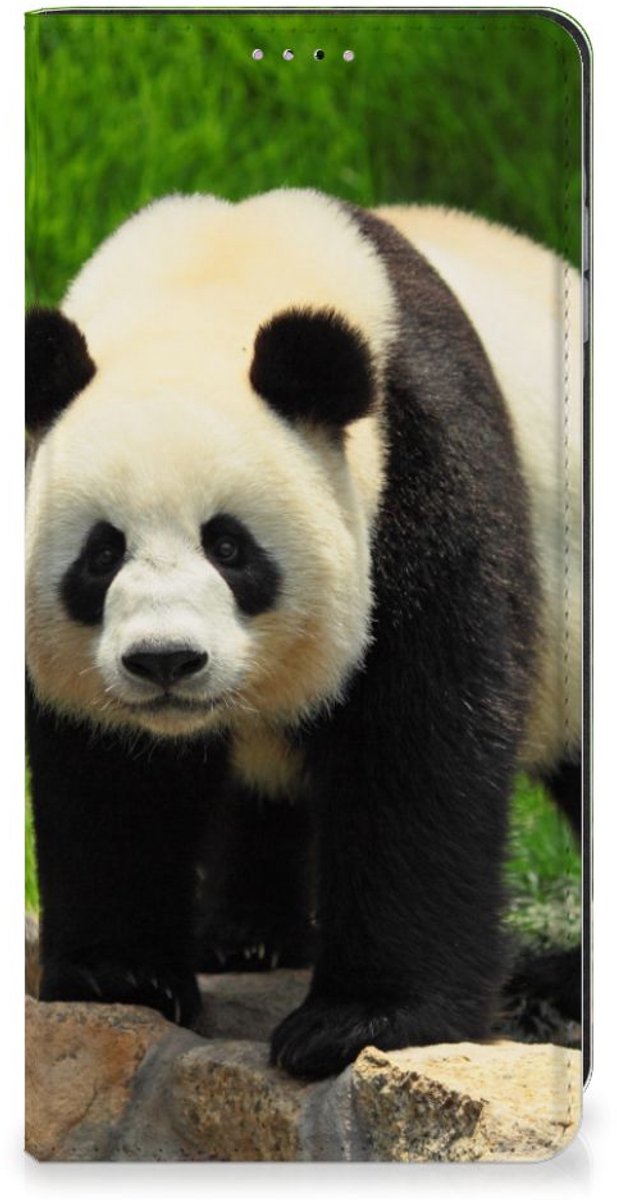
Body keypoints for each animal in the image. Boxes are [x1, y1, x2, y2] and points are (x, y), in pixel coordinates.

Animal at [25, 189, 582, 1080]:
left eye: (229, 546)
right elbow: (109, 770)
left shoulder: (422, 468)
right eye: (101, 554)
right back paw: (247, 936)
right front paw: (122, 976)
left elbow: (418, 740)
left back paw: (554, 986)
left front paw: (360, 1021)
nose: (165, 661)